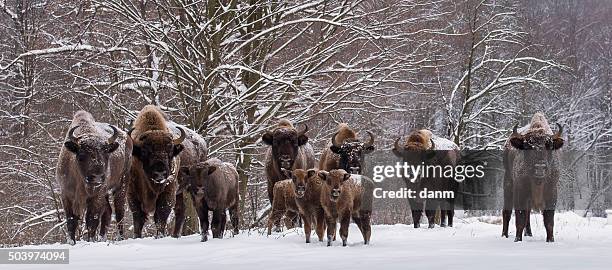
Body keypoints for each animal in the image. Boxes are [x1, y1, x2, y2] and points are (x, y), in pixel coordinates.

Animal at [56, 110, 133, 246]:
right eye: (81, 155)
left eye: (106, 154)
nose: (97, 177)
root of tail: (127, 137)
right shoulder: (66, 195)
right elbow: (71, 220)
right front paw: (72, 242)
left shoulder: (96, 197)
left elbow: (92, 220)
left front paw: (91, 241)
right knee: (108, 212)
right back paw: (102, 238)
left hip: (121, 185)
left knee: (119, 212)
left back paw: (120, 238)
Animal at [127, 104, 185, 237]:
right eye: (145, 151)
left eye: (170, 150)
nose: (160, 173)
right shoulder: (132, 194)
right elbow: (138, 219)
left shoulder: (168, 192)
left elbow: (160, 217)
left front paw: (160, 236)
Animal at [502, 112, 564, 243]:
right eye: (527, 146)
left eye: (549, 146)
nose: (540, 167)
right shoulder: (520, 191)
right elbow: (520, 218)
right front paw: (517, 240)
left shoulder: (552, 192)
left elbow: (549, 220)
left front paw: (550, 240)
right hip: (508, 183)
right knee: (507, 212)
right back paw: (504, 235)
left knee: (528, 213)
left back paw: (529, 233)